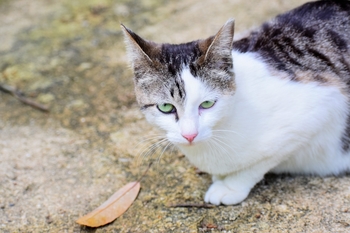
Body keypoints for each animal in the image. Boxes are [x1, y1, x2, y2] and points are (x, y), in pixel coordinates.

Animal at [121, 0, 350, 205]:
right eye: (166, 107)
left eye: (207, 104)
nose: (190, 135)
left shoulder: (322, 108)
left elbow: (259, 163)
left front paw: (229, 186)